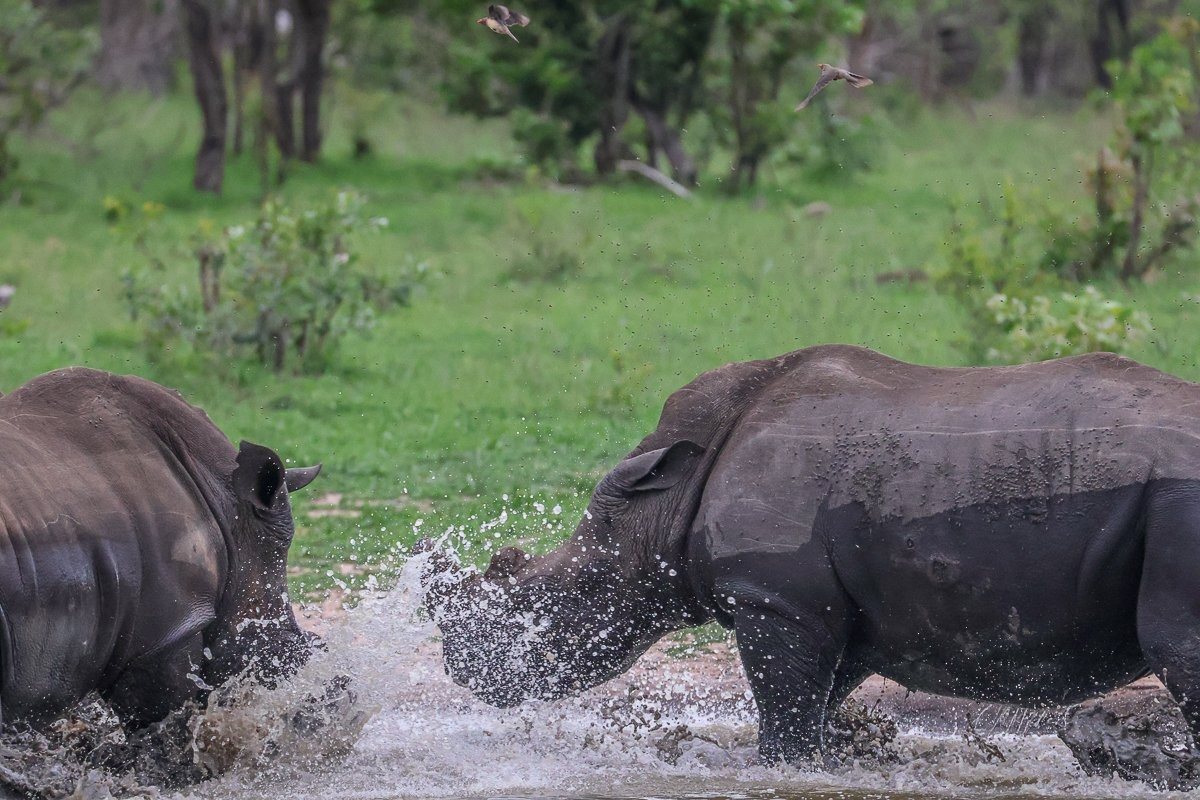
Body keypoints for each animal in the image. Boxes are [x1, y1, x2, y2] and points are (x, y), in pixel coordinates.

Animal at [426, 344, 1200, 763]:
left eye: (550, 601)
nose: (462, 667)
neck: (660, 505)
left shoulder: (774, 598)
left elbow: (785, 718)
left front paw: (779, 767)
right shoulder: (832, 612)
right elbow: (815, 706)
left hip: (1179, 504)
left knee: (1177, 647)